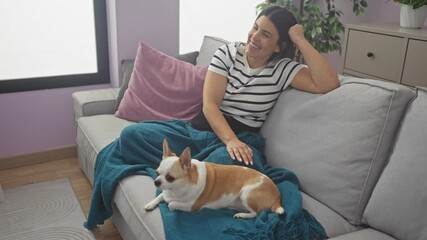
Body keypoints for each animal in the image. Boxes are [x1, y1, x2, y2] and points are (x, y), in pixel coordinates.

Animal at [144, 140, 284, 218]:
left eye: (170, 178)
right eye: (157, 173)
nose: (156, 182)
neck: (176, 189)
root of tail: (278, 195)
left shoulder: (192, 206)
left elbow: (171, 203)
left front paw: (171, 206)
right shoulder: (166, 192)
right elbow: (161, 196)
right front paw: (151, 204)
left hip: (246, 193)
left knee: (256, 213)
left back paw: (242, 215)